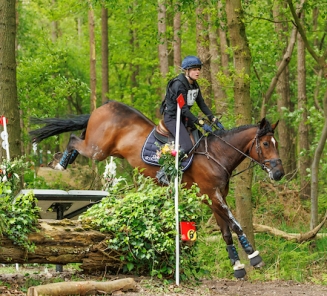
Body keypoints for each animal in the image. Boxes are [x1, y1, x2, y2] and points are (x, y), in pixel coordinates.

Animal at [31, 100, 288, 278]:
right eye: (266, 144)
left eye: (276, 144)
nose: (278, 174)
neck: (217, 155)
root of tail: (103, 106)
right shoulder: (213, 195)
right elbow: (236, 224)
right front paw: (254, 257)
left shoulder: (214, 198)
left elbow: (226, 231)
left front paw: (237, 267)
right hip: (98, 149)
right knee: (74, 139)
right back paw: (60, 166)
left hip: (102, 148)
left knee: (77, 138)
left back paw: (63, 162)